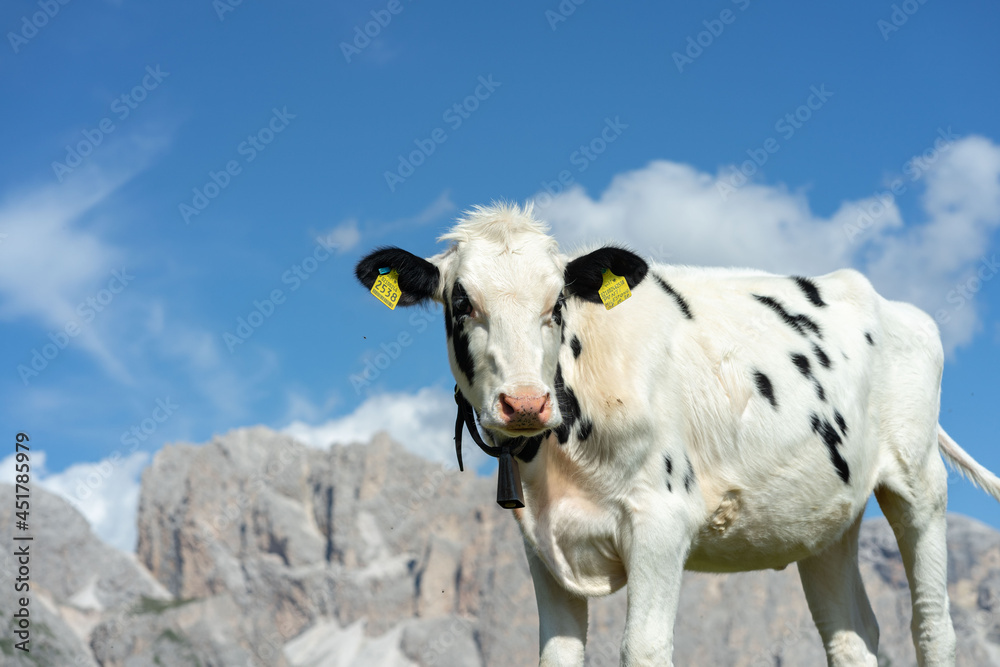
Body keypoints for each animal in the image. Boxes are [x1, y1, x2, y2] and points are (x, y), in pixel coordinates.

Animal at [354, 203, 1000, 666]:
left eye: (558, 301)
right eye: (461, 301)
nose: (525, 403)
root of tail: (891, 304)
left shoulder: (661, 520)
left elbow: (643, 648)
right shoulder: (541, 541)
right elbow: (557, 655)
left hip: (919, 480)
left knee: (932, 629)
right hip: (825, 519)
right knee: (852, 636)